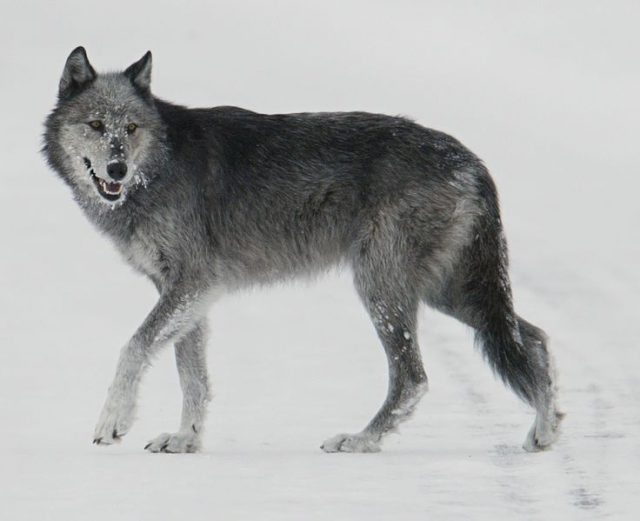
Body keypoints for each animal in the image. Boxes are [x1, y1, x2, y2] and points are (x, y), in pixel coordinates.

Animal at [43, 47, 562, 454]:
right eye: (96, 125)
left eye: (130, 128)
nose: (117, 169)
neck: (159, 166)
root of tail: (470, 159)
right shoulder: (187, 292)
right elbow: (192, 374)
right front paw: (186, 439)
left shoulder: (192, 283)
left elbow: (133, 347)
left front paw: (113, 422)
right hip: (448, 293)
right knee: (534, 337)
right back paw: (545, 431)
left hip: (384, 289)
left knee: (414, 378)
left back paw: (360, 440)